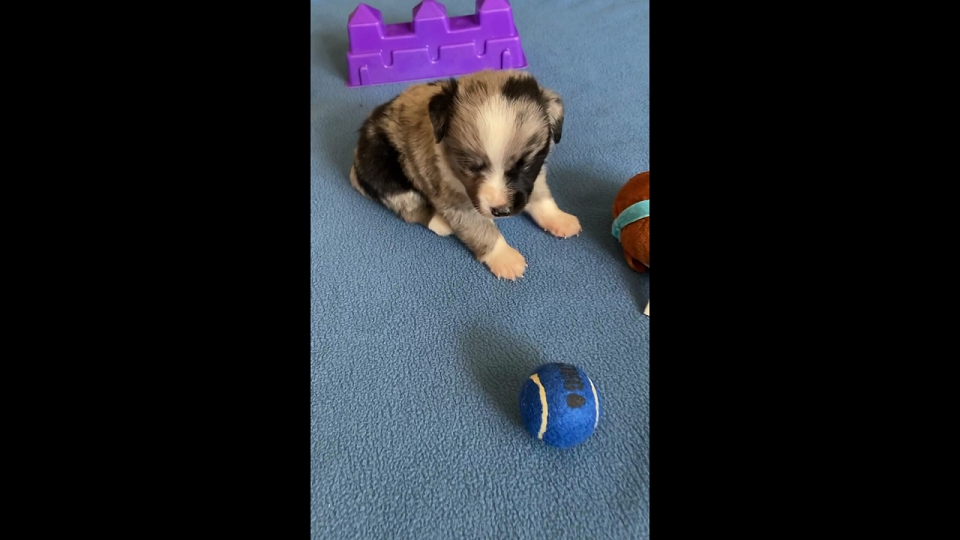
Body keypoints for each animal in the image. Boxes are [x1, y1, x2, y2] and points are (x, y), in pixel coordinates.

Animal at [350, 70, 580, 280]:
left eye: (526, 164)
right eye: (472, 166)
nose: (502, 211)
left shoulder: (535, 175)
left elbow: (541, 196)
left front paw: (558, 218)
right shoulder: (456, 201)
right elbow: (480, 228)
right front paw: (504, 257)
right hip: (385, 170)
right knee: (409, 206)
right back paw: (440, 223)